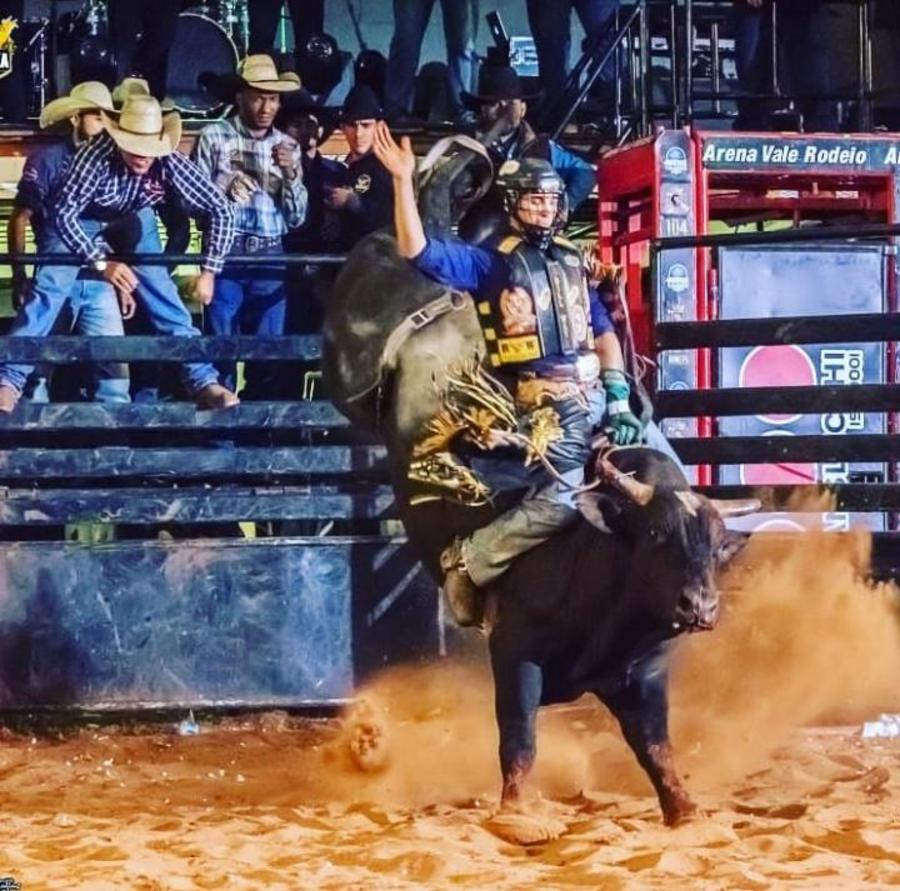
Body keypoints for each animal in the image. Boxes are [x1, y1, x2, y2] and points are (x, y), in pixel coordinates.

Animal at [320, 141, 756, 828]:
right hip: (358, 356)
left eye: (716, 546)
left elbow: (656, 748)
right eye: (657, 535)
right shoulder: (515, 653)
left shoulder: (643, 675)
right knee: (427, 237)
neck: (598, 555)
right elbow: (519, 735)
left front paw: (685, 809)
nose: (700, 608)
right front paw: (522, 816)